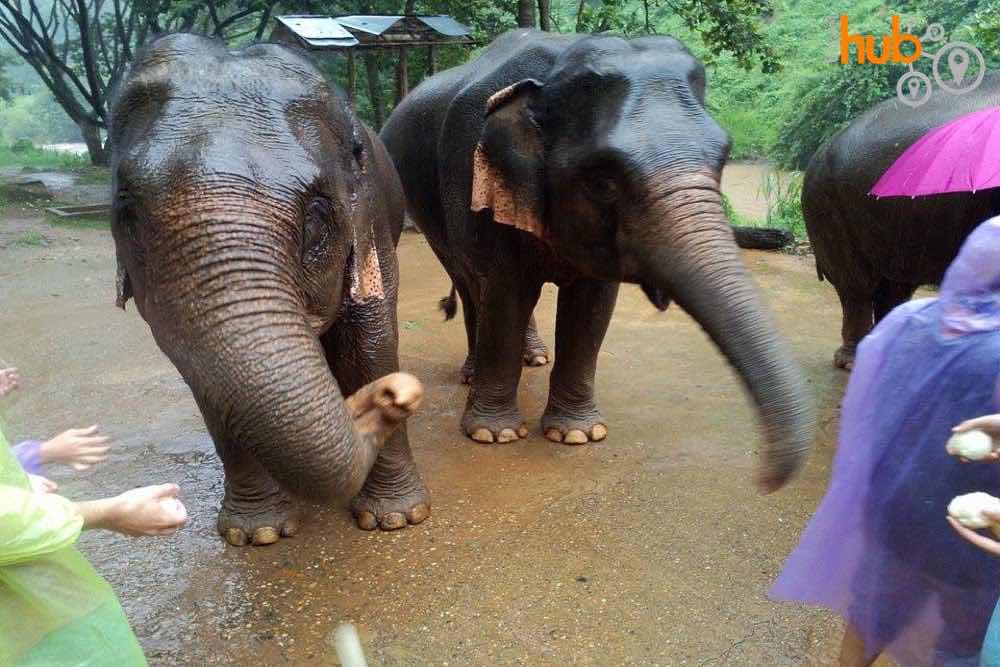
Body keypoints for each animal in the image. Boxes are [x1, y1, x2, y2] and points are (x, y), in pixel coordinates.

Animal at [109, 34, 430, 544]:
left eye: (317, 215)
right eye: (126, 213)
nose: (395, 396)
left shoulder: (372, 218)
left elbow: (371, 343)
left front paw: (394, 519)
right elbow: (208, 381)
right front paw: (256, 533)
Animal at [378, 28, 816, 494]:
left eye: (722, 159)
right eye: (604, 183)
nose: (764, 479)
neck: (550, 76)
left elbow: (592, 304)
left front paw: (577, 434)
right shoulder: (474, 182)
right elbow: (505, 290)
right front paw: (493, 435)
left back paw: (534, 358)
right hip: (423, 206)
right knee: (469, 282)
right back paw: (472, 373)